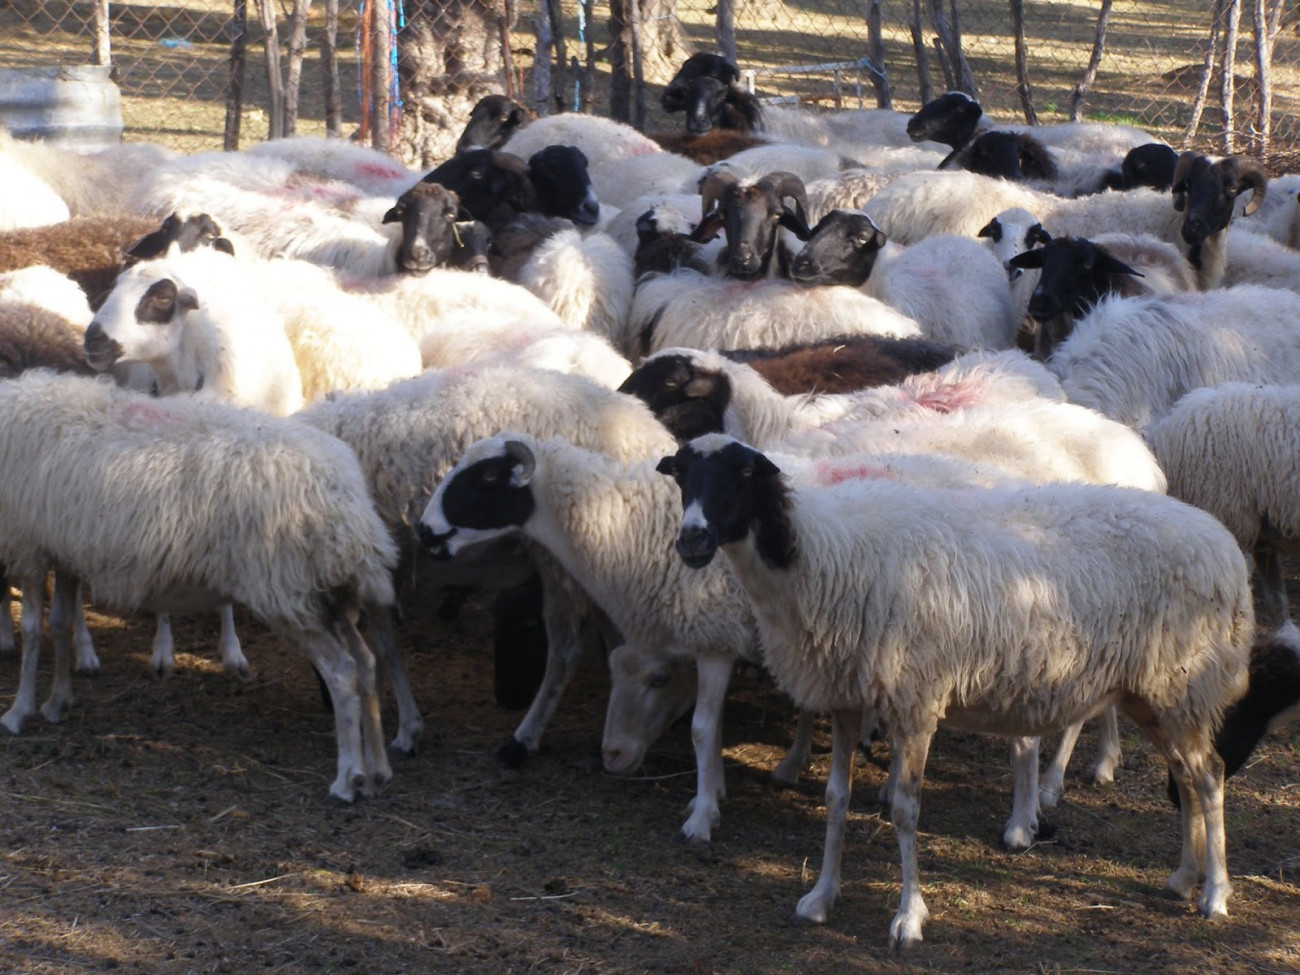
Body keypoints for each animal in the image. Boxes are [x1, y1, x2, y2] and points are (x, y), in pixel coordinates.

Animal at [0, 374, 395, 800]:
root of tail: (350, 506)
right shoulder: (60, 548)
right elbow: (59, 625)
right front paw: (57, 702)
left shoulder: (27, 545)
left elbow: (33, 632)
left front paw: (18, 711)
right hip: (327, 593)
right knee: (366, 663)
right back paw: (378, 770)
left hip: (286, 592)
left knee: (341, 672)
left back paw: (348, 777)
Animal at [665, 434, 1253, 946]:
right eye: (683, 474)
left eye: (741, 474)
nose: (691, 539)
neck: (818, 555)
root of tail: (1226, 548)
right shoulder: (848, 699)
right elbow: (835, 800)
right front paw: (820, 898)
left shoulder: (916, 699)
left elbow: (906, 810)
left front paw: (908, 918)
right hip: (1157, 693)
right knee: (1186, 776)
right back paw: (1183, 878)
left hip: (1182, 681)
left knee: (1209, 776)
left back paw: (1216, 894)